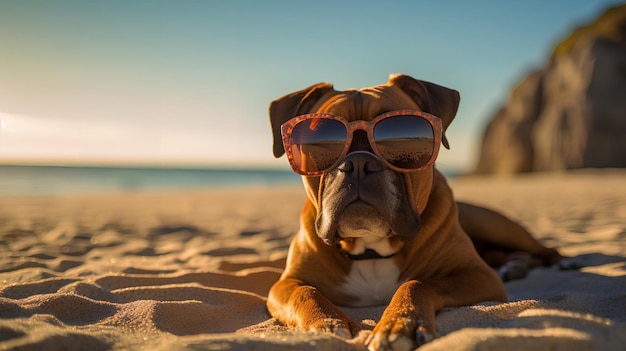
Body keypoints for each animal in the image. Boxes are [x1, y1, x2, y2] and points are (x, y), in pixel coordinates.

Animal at [266, 73, 560, 350]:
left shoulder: (477, 275)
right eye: (320, 142)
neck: (371, 249)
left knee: (541, 250)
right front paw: (327, 322)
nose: (358, 163)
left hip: (494, 224)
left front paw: (400, 323)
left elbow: (419, 283)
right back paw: (514, 266)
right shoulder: (285, 284)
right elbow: (305, 291)